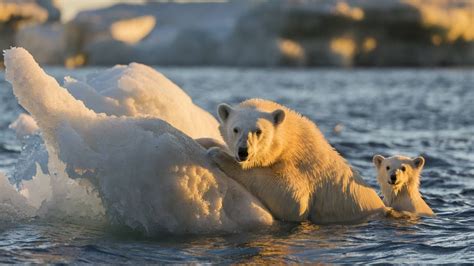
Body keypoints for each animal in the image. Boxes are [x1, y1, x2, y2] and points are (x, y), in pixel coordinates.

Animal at [211, 98, 388, 223]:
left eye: (258, 131)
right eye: (235, 129)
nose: (243, 152)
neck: (292, 140)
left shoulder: (303, 169)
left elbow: (294, 200)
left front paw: (218, 154)